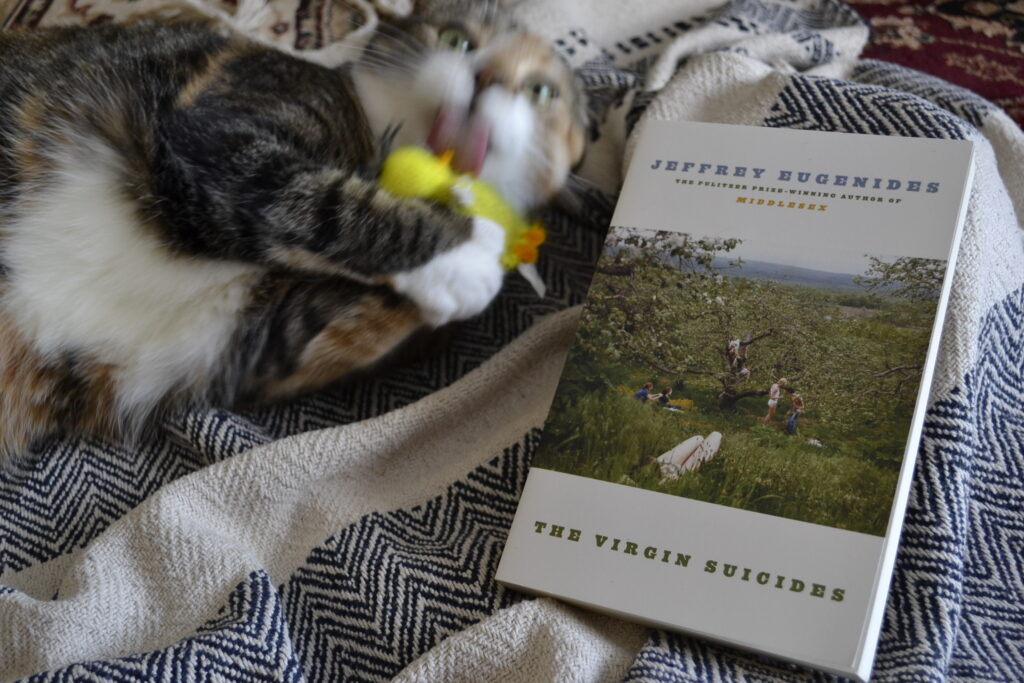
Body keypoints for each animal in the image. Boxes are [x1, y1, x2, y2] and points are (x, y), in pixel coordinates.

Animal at [0, 1, 589, 458]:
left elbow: (321, 332)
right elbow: (319, 201)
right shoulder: (223, 125)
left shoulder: (247, 342)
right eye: (457, 40)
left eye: (541, 92)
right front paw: (463, 252)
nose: (488, 79)